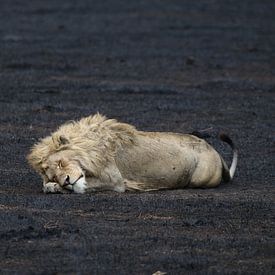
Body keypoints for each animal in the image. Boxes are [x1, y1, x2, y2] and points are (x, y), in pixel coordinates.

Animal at [28, 113, 239, 194]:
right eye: (53, 175)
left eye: (61, 163)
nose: (65, 181)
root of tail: (214, 150)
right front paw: (52, 186)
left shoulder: (115, 181)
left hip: (200, 178)